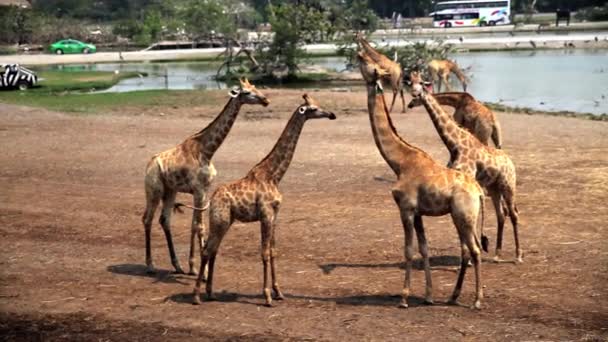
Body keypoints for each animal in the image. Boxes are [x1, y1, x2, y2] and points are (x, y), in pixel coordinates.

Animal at [142, 77, 268, 276]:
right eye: (247, 92)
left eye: (255, 87)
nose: (265, 100)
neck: (207, 151)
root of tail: (149, 165)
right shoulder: (198, 190)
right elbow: (199, 227)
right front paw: (203, 269)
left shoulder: (205, 190)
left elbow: (196, 225)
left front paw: (193, 266)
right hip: (154, 190)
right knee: (147, 219)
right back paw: (150, 265)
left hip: (170, 191)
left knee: (165, 220)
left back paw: (177, 265)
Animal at [191, 94, 338, 308]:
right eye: (312, 108)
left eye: (318, 105)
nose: (332, 114)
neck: (274, 175)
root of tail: (212, 199)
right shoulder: (266, 214)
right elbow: (265, 253)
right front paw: (267, 296)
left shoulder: (274, 215)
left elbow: (274, 251)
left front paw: (279, 292)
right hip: (220, 220)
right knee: (206, 250)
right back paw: (196, 296)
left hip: (226, 221)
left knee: (213, 250)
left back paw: (210, 293)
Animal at [356, 51, 484, 310]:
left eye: (370, 66)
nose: (358, 53)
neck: (399, 162)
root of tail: (478, 191)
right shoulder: (418, 212)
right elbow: (424, 249)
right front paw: (428, 296)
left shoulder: (405, 208)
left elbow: (408, 250)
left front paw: (404, 297)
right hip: (467, 218)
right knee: (471, 249)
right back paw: (462, 296)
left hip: (462, 216)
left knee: (474, 251)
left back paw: (475, 301)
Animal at [408, 69, 524, 262]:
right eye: (410, 84)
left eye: (421, 85)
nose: (412, 99)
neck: (455, 144)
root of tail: (510, 162)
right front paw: (473, 252)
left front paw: (471, 255)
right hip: (494, 187)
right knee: (501, 214)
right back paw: (497, 254)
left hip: (508, 185)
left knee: (513, 214)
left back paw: (518, 255)